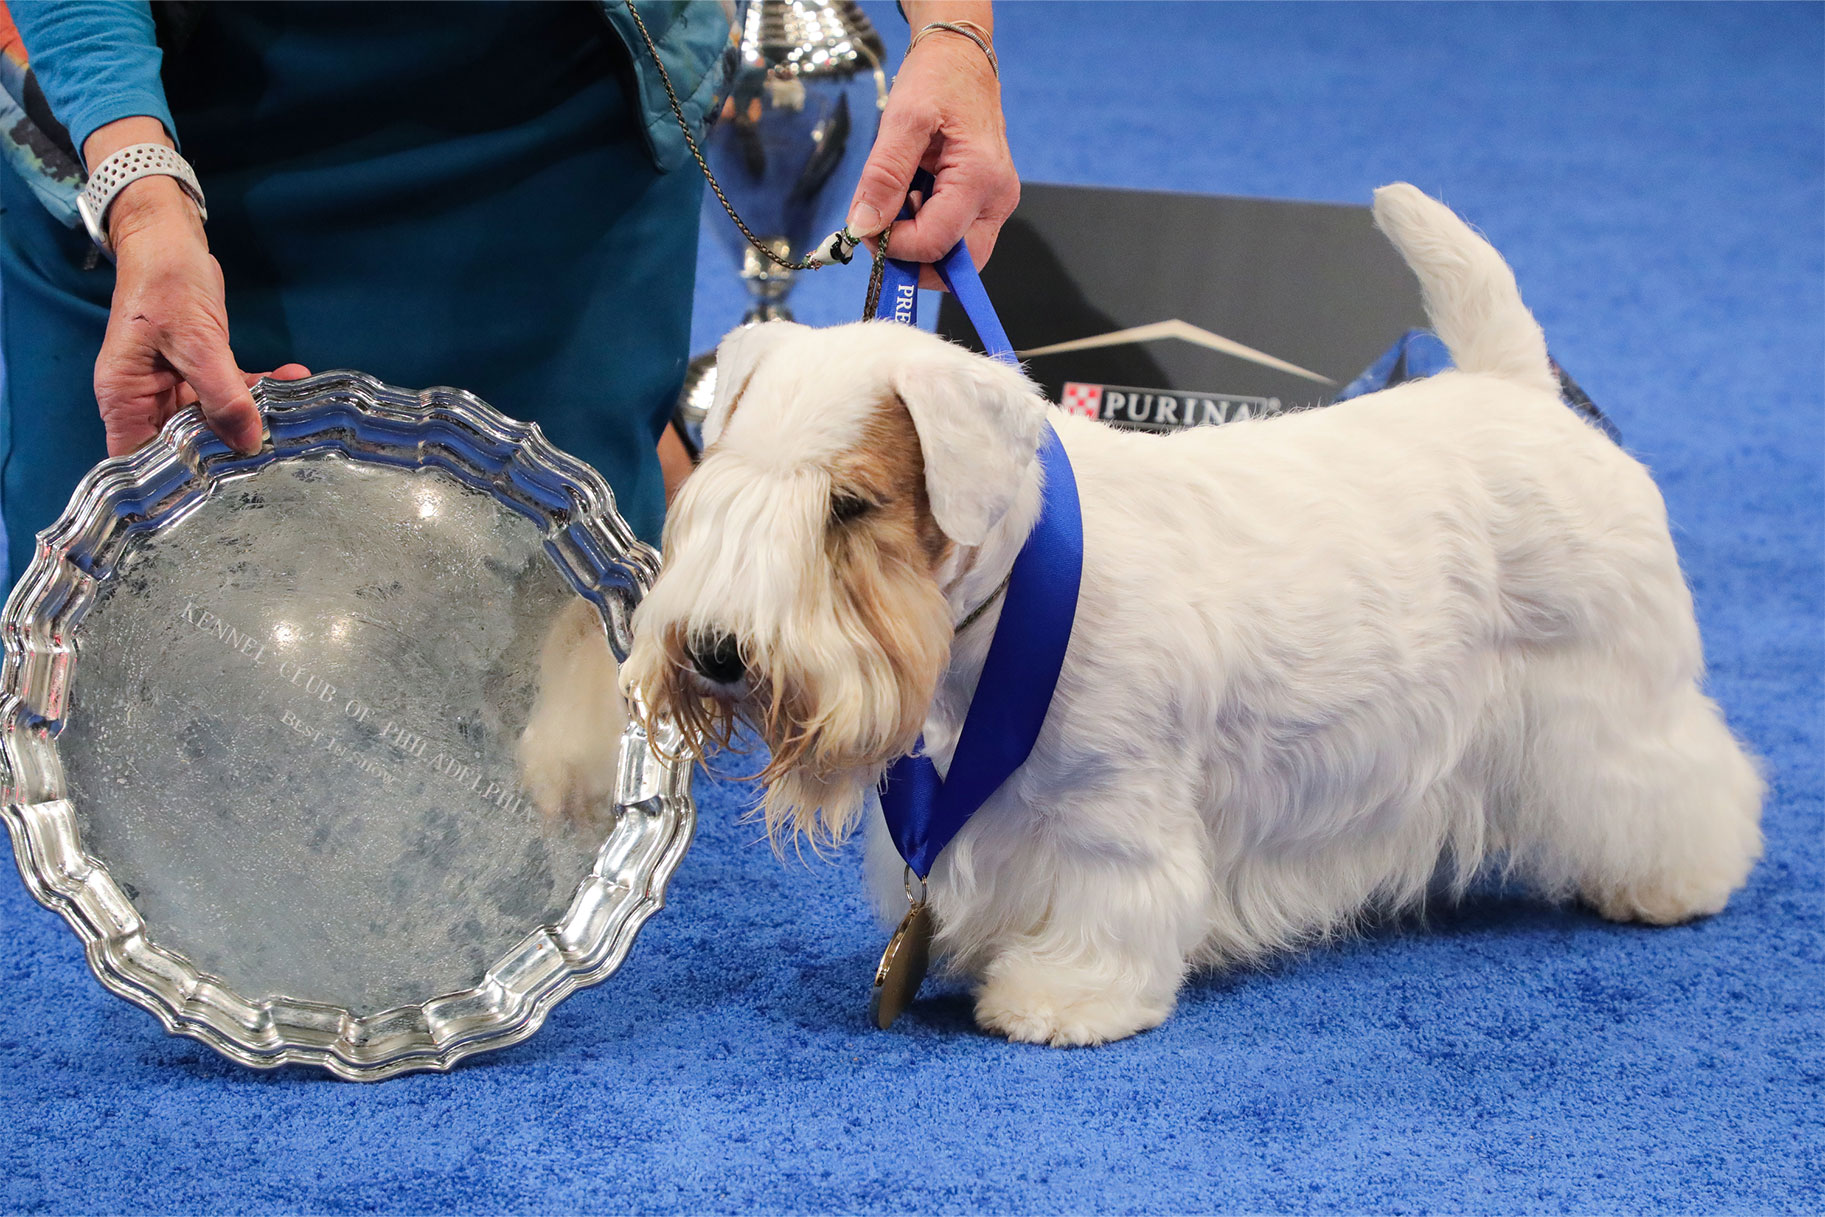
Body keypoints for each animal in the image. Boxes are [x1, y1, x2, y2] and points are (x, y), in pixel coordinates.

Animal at [620, 183, 1759, 1050]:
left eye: (850, 505)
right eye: (721, 486)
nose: (717, 654)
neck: (1001, 603)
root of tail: (1520, 390)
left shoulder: (1111, 809)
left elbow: (1109, 901)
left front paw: (1062, 996)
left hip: (1613, 700)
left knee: (1682, 778)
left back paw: (1675, 880)